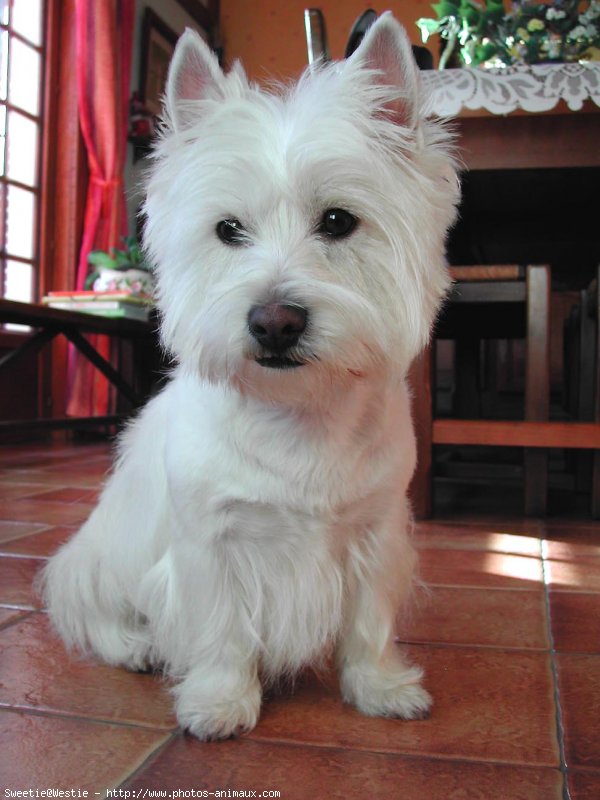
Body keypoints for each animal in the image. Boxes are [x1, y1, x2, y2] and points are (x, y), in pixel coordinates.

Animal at [42, 12, 458, 740]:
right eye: (227, 229)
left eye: (338, 221)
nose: (274, 322)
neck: (298, 414)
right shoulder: (210, 540)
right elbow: (220, 629)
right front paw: (219, 702)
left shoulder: (377, 531)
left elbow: (370, 621)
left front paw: (379, 688)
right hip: (100, 555)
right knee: (88, 608)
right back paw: (135, 645)